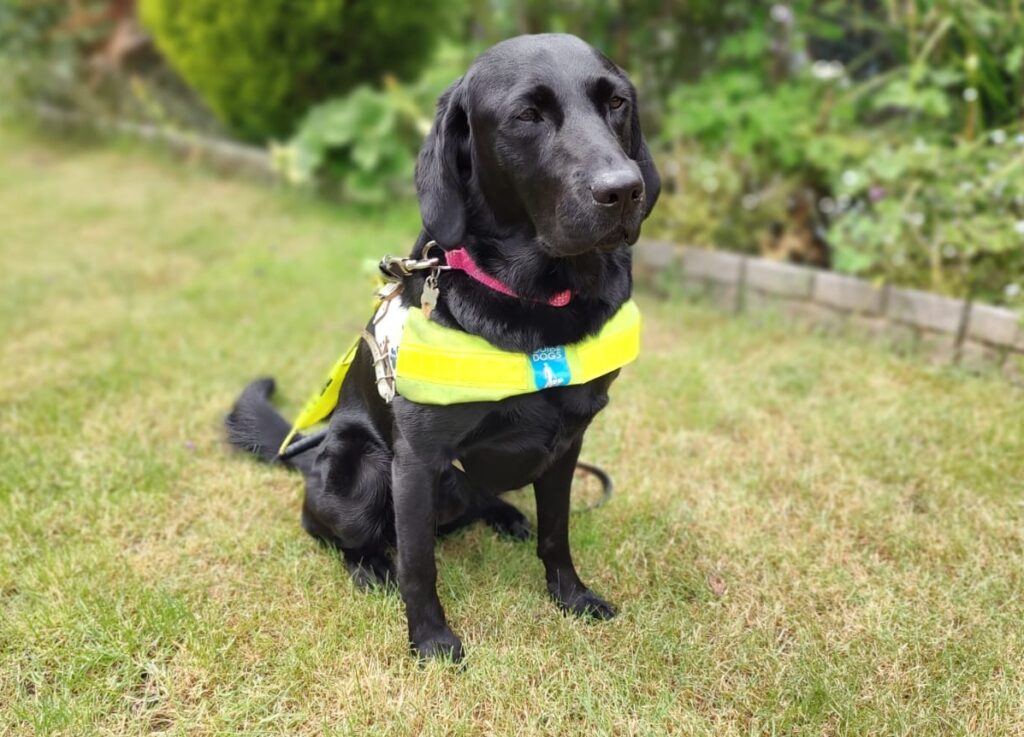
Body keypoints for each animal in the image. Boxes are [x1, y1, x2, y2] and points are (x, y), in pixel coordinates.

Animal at [225, 34, 659, 663]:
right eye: (527, 115)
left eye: (617, 103)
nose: (624, 189)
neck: (536, 300)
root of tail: (313, 451)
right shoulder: (416, 459)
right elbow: (419, 564)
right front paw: (430, 638)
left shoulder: (567, 441)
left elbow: (557, 533)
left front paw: (572, 597)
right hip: (362, 469)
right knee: (332, 531)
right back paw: (369, 567)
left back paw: (505, 515)